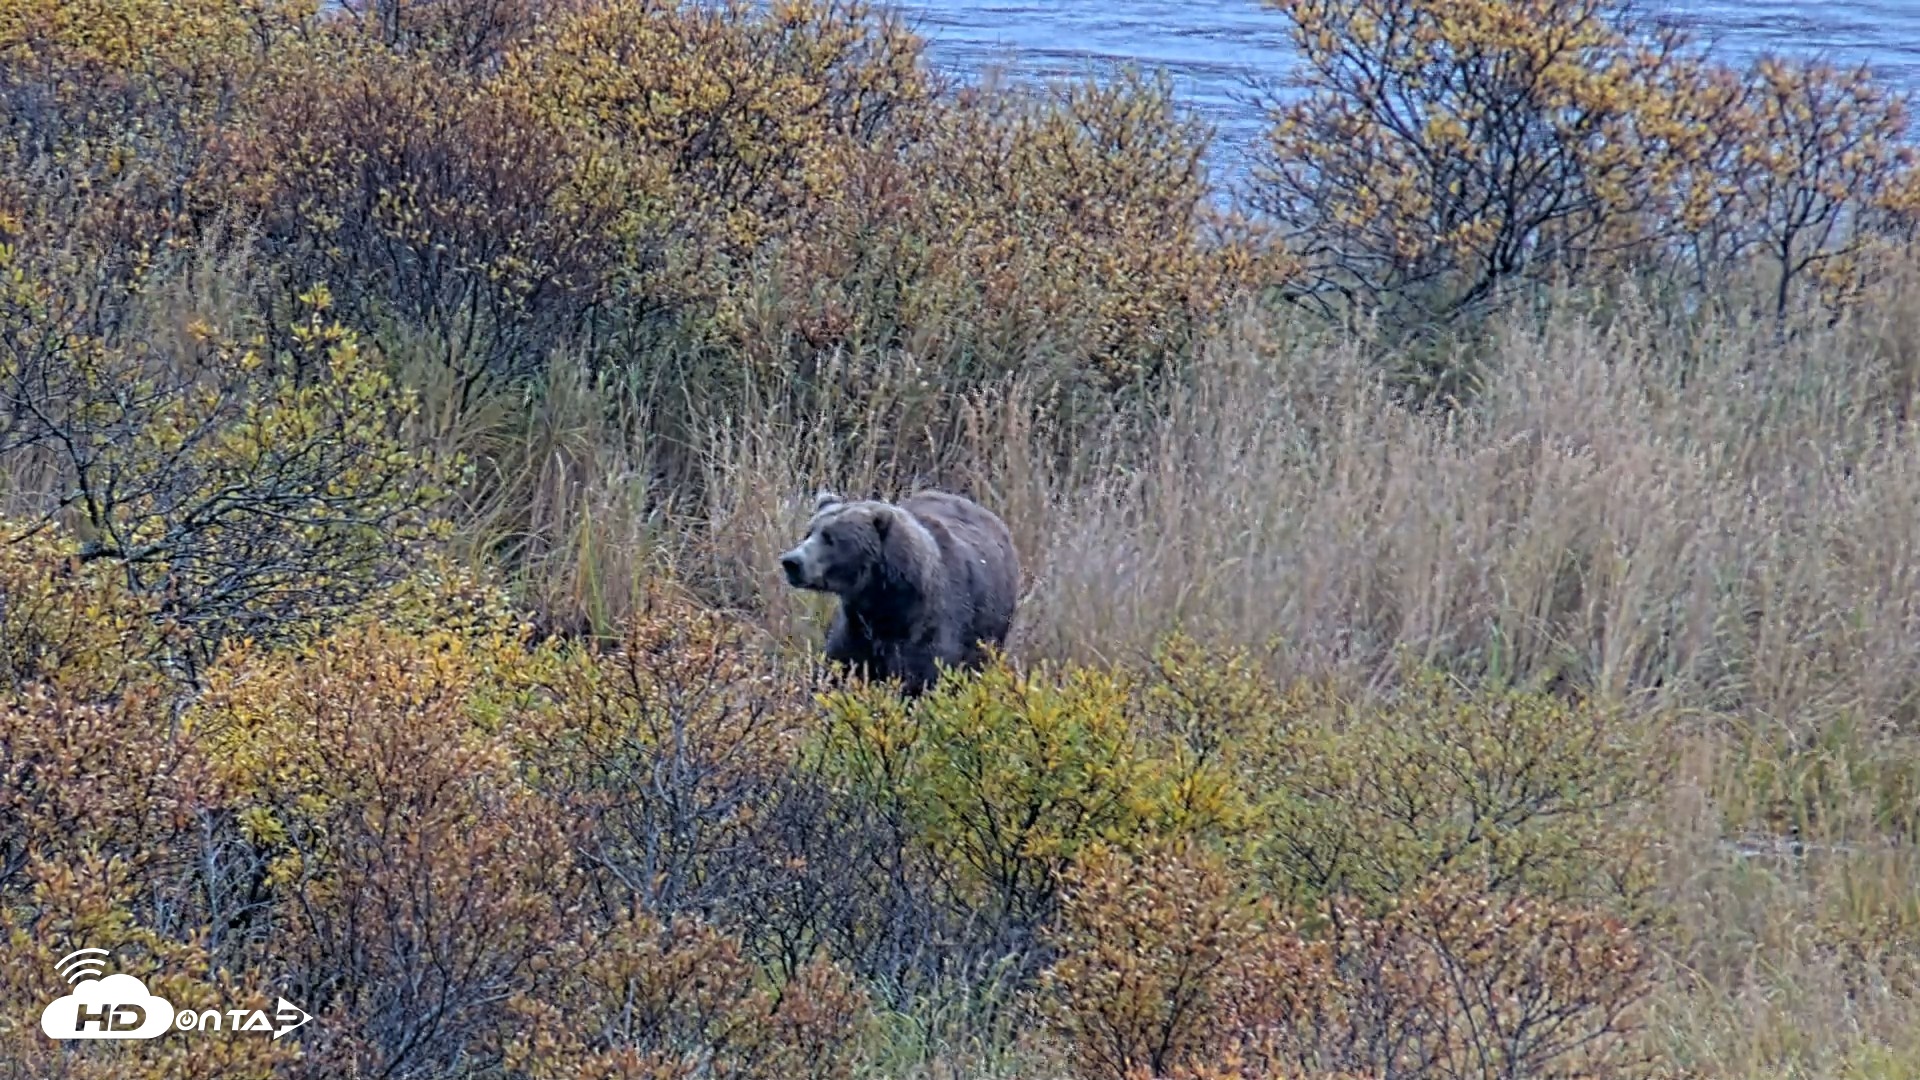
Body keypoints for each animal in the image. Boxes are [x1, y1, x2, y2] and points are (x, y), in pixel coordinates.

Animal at [778, 488, 1020, 696]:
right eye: (809, 532)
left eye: (831, 538)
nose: (791, 561)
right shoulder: (854, 628)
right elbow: (837, 671)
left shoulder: (928, 629)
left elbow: (920, 680)